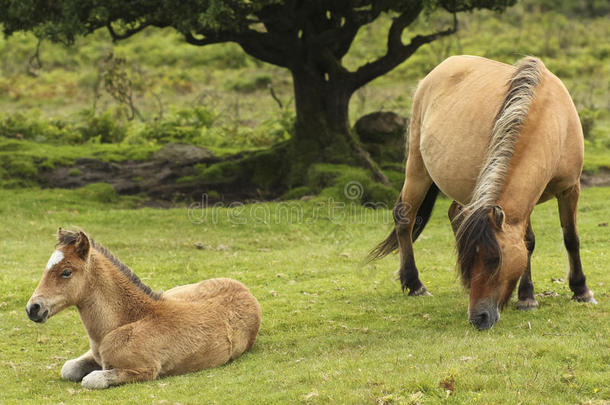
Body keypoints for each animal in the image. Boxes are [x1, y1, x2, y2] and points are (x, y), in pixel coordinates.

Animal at [26, 227, 260, 388]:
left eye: (66, 272)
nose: (33, 308)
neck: (126, 321)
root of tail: (244, 289)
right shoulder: (94, 355)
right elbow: (68, 369)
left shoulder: (144, 370)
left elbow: (91, 380)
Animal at [370, 56, 592, 328]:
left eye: (494, 260)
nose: (478, 317)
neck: (551, 118)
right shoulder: (524, 202)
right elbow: (528, 242)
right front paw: (527, 297)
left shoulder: (571, 188)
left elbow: (571, 238)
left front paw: (581, 290)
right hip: (417, 169)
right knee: (405, 219)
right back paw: (414, 284)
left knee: (454, 214)